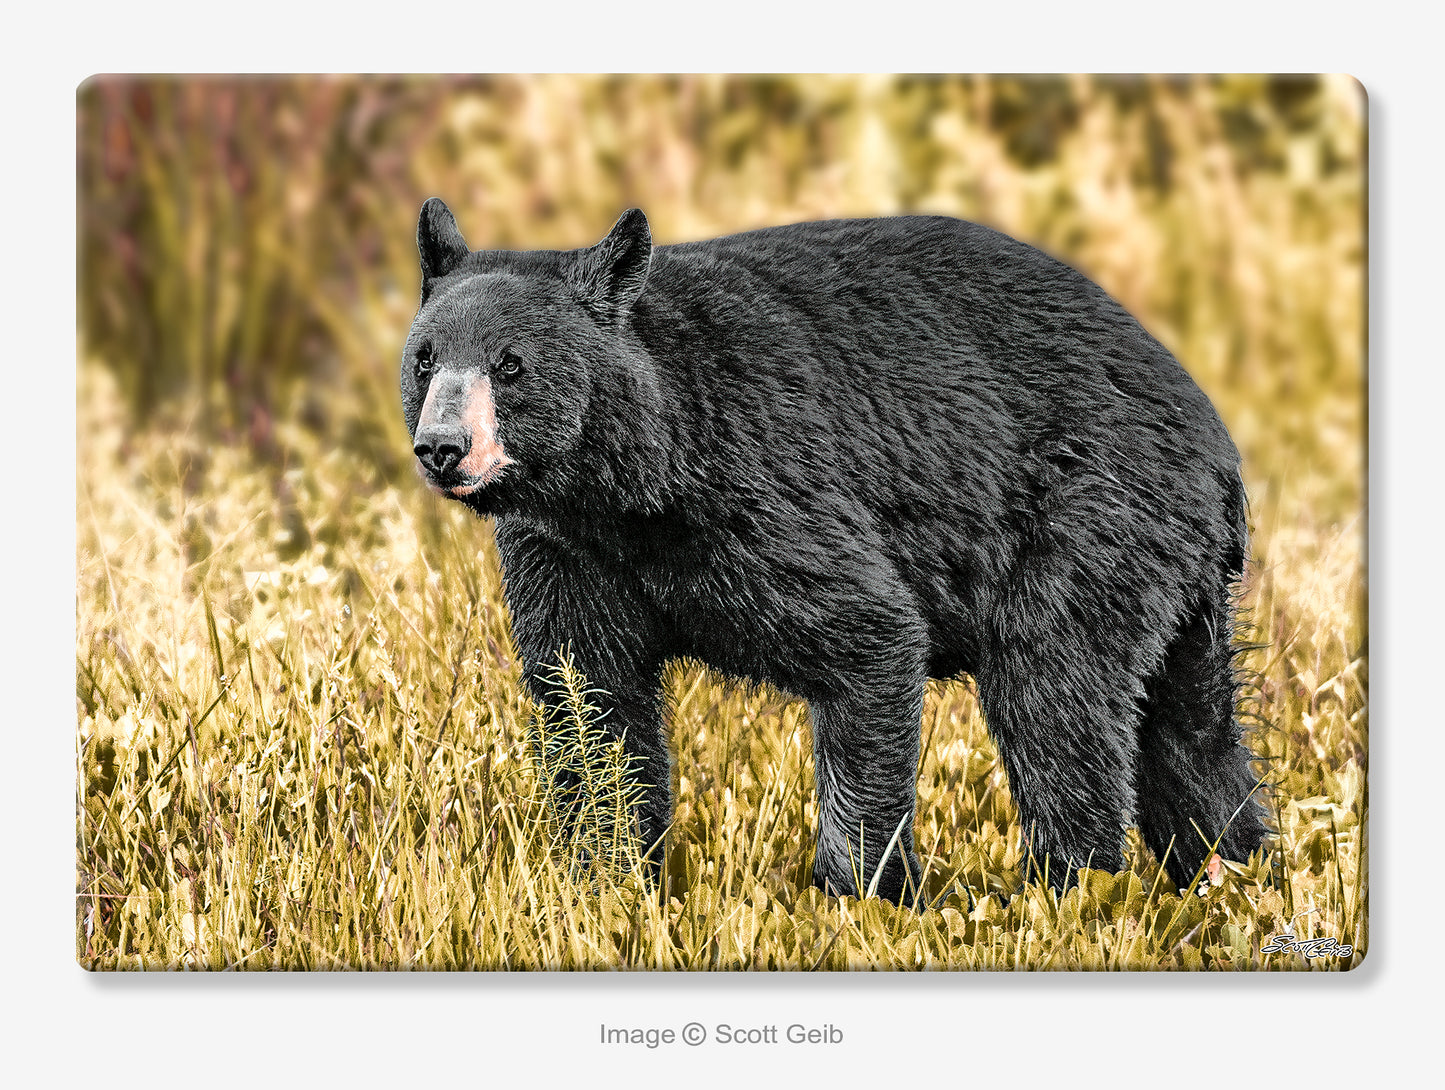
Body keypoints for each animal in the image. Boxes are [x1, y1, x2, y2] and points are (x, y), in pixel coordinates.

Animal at [404, 195, 1265, 902]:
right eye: (425, 357)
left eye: (511, 364)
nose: (443, 448)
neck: (631, 491)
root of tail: (1213, 435)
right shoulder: (568, 552)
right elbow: (590, 699)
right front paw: (606, 882)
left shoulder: (764, 492)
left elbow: (869, 637)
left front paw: (864, 895)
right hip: (1172, 569)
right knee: (1191, 730)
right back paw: (1236, 870)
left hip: (1089, 514)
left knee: (1056, 694)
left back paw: (1069, 888)